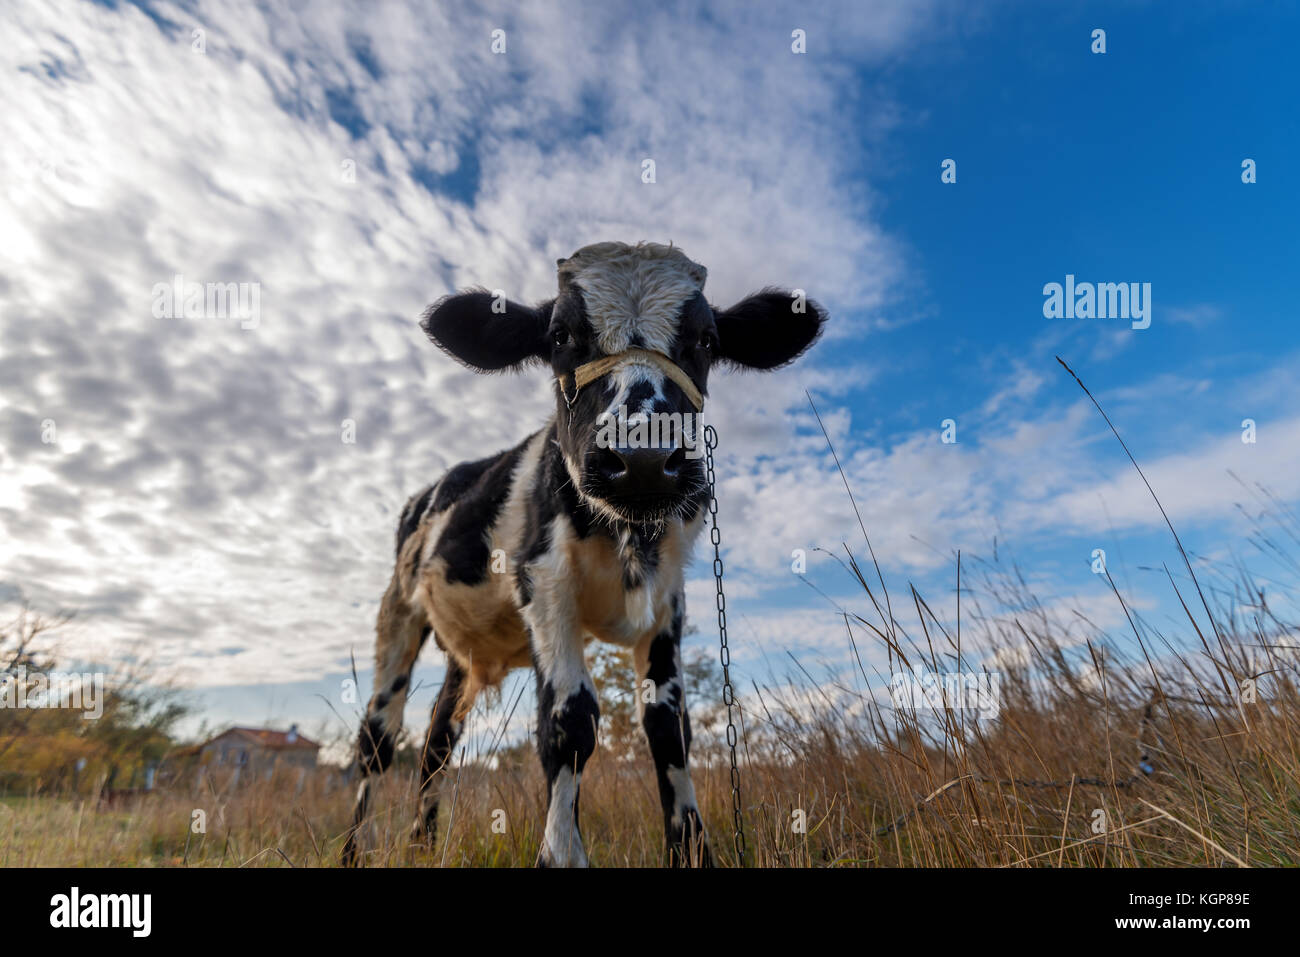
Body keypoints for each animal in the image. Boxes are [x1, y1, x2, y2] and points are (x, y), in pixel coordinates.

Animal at [342, 241, 825, 867]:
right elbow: (570, 720)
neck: (629, 540)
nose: (643, 458)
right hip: (398, 609)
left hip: (461, 655)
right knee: (377, 739)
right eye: (559, 335)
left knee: (437, 742)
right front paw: (561, 852)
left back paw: (423, 845)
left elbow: (669, 726)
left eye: (706, 340)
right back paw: (355, 850)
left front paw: (691, 848)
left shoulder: (669, 601)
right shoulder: (545, 583)